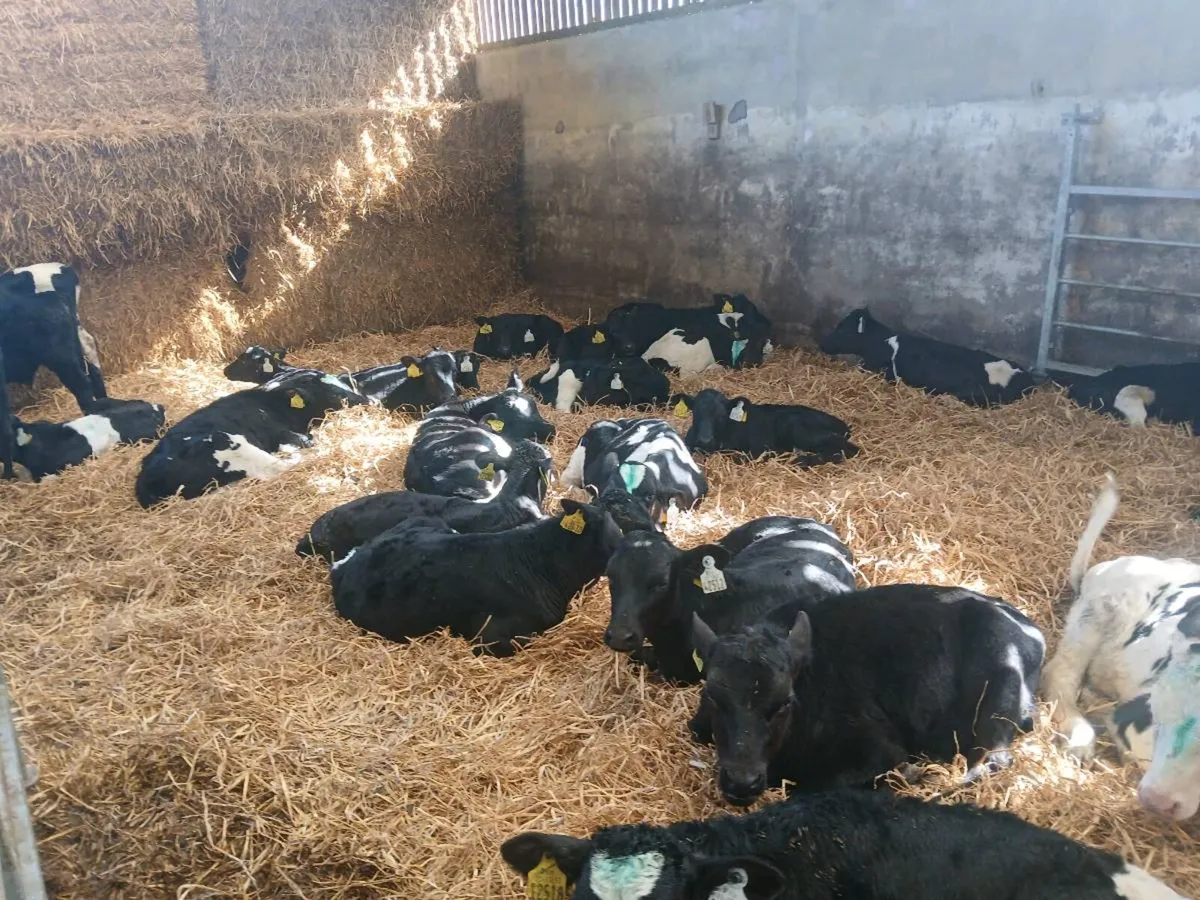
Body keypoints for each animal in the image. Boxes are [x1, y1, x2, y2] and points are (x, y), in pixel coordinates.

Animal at [135, 370, 367, 507]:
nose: (366, 400)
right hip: (230, 444)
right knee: (282, 466)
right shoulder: (287, 434)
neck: (270, 402)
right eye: (335, 394)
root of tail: (145, 478)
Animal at [671, 388, 859, 465]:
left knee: (848, 449)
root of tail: (842, 424)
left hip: (800, 429)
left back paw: (801, 460)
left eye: (721, 416)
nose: (705, 440)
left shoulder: (755, 449)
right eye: (696, 413)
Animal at [688, 584, 1045, 806]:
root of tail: (1029, 630)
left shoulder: (880, 752)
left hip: (997, 703)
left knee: (990, 762)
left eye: (783, 703)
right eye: (713, 697)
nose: (741, 782)